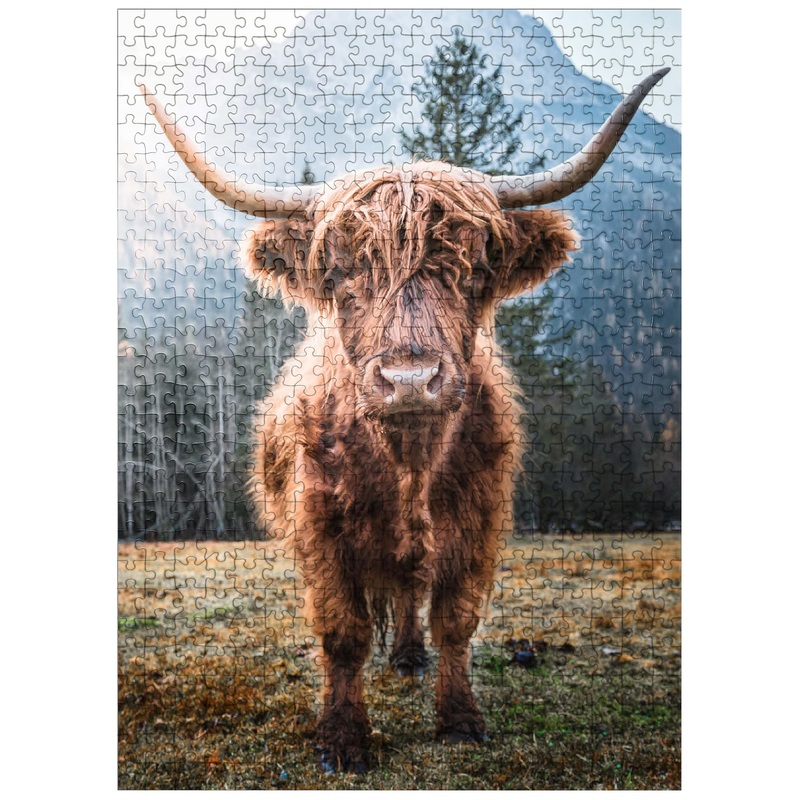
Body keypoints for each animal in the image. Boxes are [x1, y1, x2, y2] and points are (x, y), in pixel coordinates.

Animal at [141, 67, 669, 773]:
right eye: (339, 273)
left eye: (473, 269)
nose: (410, 380)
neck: (408, 462)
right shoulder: (321, 525)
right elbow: (343, 632)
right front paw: (343, 739)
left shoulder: (478, 520)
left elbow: (456, 619)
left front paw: (460, 720)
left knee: (409, 591)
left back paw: (410, 657)